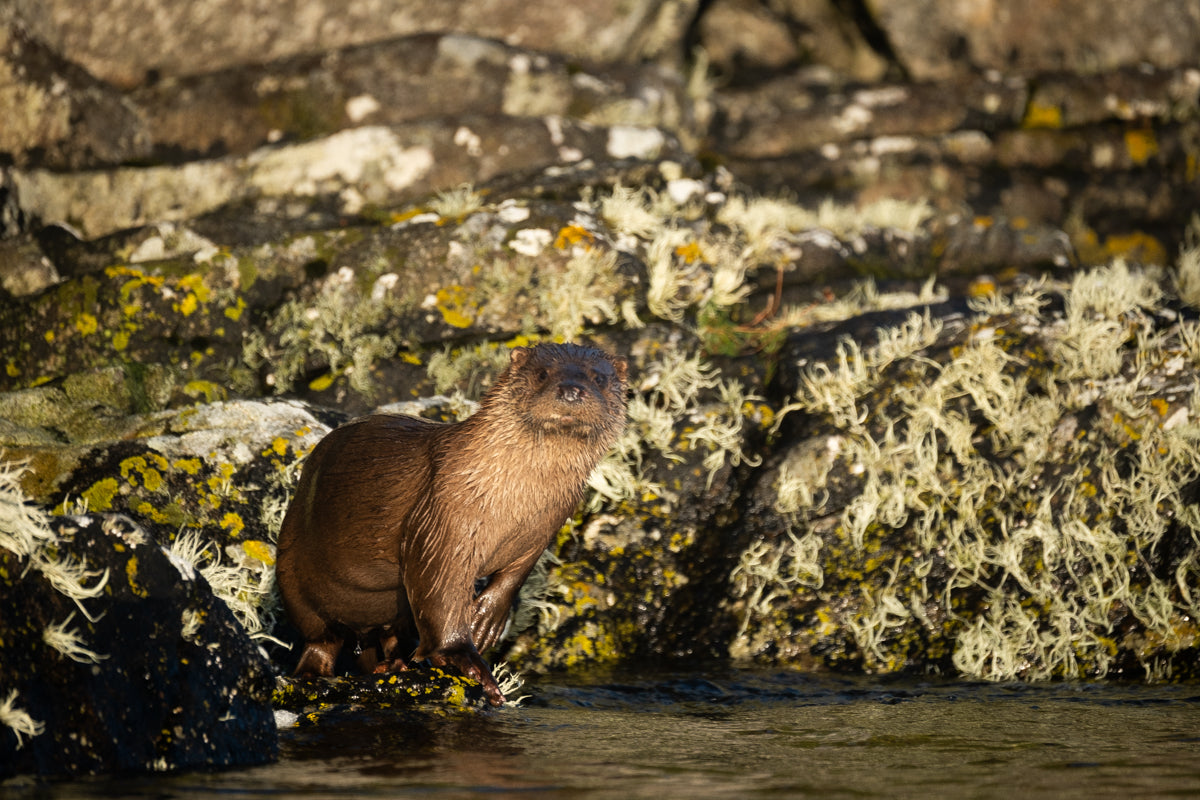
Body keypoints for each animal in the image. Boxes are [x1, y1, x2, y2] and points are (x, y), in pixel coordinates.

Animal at [276, 343, 628, 705]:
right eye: (542, 374)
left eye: (598, 378)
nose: (571, 390)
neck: (516, 501)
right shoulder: (443, 520)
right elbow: (441, 595)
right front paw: (467, 660)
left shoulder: (543, 531)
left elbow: (513, 578)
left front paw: (485, 621)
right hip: (292, 575)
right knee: (321, 638)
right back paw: (311, 674)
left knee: (391, 634)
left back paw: (395, 664)